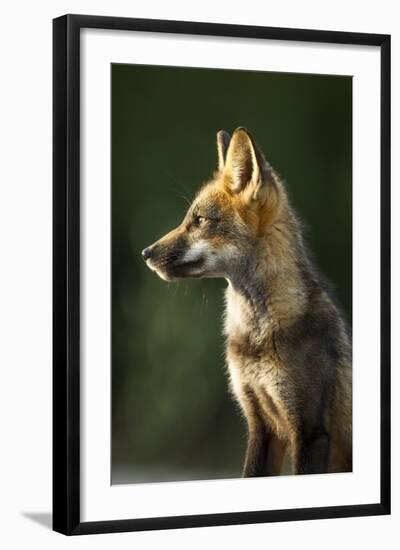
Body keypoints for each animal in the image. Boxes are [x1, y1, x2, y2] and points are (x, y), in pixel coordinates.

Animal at [142, 127, 352, 476]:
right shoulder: (260, 424)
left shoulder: (310, 430)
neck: (257, 337)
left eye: (200, 220)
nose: (146, 253)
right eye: (188, 218)